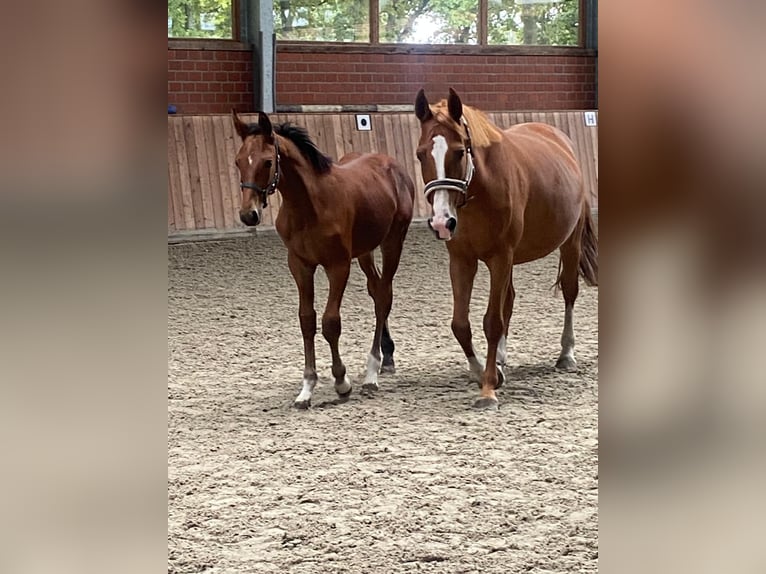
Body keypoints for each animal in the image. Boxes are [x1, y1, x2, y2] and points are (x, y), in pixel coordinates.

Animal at [232, 110, 415, 409]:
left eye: (268, 161)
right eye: (238, 161)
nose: (249, 215)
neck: (309, 206)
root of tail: (393, 165)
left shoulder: (337, 266)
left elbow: (330, 323)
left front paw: (342, 382)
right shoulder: (300, 265)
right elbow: (307, 320)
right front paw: (306, 388)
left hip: (392, 242)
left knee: (384, 296)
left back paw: (372, 372)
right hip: (364, 251)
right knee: (376, 290)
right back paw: (386, 357)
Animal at [414, 88, 598, 410]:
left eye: (459, 152)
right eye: (420, 154)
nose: (440, 222)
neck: (480, 190)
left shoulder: (500, 257)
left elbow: (492, 321)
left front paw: (488, 389)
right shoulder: (461, 260)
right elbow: (460, 323)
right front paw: (485, 372)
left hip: (569, 244)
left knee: (569, 292)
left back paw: (566, 354)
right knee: (509, 299)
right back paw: (499, 360)